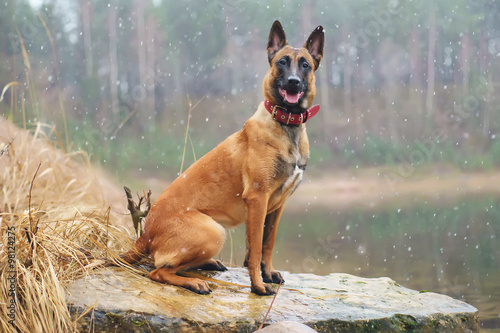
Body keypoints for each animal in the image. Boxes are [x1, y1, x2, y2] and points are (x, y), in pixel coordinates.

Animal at [122, 20, 324, 294]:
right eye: (282, 62)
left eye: (305, 64)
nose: (293, 82)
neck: (285, 124)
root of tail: (146, 234)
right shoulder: (258, 199)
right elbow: (256, 247)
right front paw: (258, 285)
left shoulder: (276, 206)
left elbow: (267, 244)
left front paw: (268, 273)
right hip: (214, 232)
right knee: (158, 271)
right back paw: (195, 282)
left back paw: (207, 264)